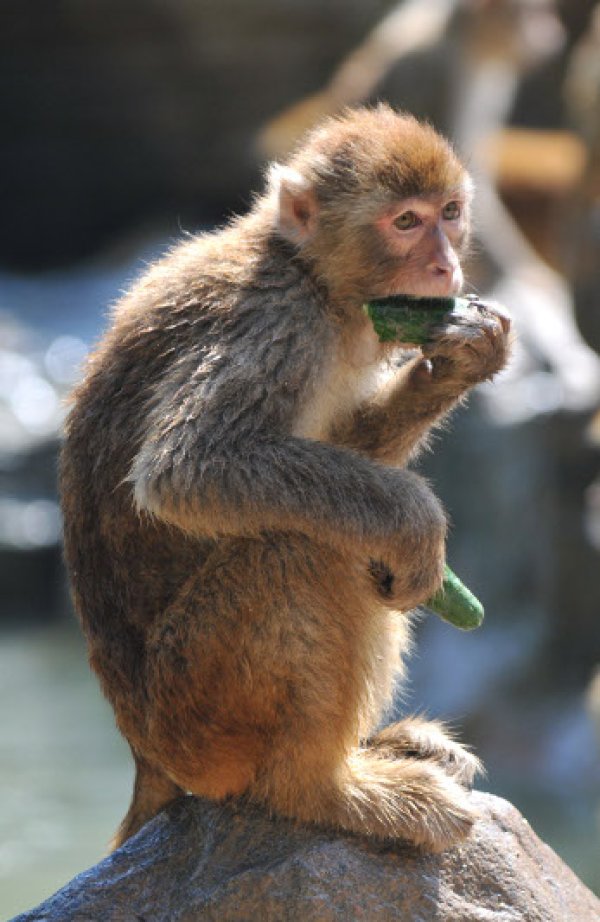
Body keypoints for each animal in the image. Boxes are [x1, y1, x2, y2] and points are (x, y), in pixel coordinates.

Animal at [59, 104, 510, 852]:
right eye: (406, 222)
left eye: (450, 213)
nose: (445, 264)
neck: (314, 278)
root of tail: (144, 752)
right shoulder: (273, 325)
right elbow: (189, 469)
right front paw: (415, 518)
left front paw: (459, 362)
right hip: (201, 712)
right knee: (300, 545)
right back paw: (325, 788)